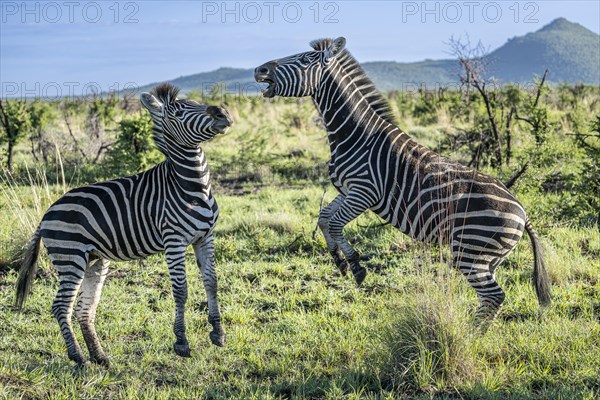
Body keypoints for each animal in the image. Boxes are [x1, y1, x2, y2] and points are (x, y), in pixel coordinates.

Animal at [15, 83, 233, 368]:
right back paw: (78, 358)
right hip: (70, 256)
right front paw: (181, 342)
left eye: (195, 102)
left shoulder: (205, 237)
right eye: (176, 113)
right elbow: (181, 290)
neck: (194, 186)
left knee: (85, 308)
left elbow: (211, 281)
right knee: (61, 306)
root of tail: (46, 215)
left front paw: (218, 334)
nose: (222, 113)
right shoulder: (173, 241)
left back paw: (99, 357)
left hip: (94, 260)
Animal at [255, 38, 552, 322]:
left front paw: (356, 266)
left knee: (494, 296)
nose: (259, 70)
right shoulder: (348, 190)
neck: (356, 134)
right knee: (490, 298)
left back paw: (470, 335)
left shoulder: (364, 191)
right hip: (488, 258)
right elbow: (324, 218)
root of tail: (523, 213)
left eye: (305, 59)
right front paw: (339, 260)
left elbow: (336, 223)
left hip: (470, 250)